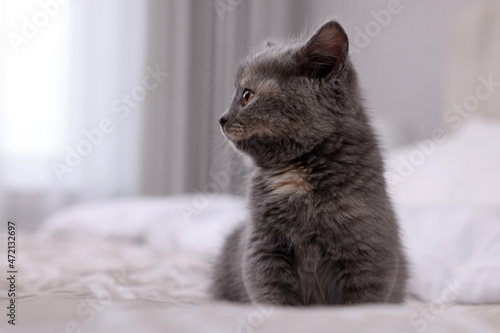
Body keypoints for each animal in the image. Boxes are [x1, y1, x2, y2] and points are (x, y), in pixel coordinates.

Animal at [209, 21, 408, 306]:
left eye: (247, 95)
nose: (221, 118)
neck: (298, 174)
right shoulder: (262, 246)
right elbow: (272, 293)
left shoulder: (372, 252)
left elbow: (363, 302)